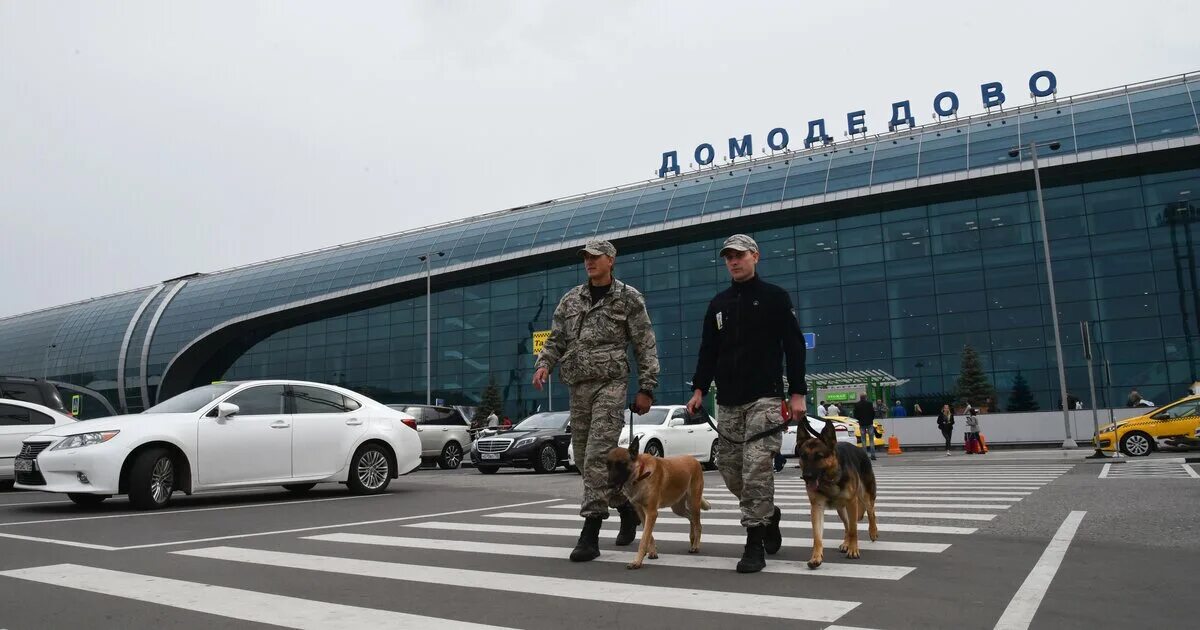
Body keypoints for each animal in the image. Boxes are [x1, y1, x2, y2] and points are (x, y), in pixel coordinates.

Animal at [609, 434, 710, 566]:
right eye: (608, 465)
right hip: (677, 508)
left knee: (698, 524)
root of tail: (694, 460)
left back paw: (696, 545)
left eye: (621, 464)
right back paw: (692, 538)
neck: (640, 474)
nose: (608, 484)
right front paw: (652, 552)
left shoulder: (651, 513)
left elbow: (644, 538)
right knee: (691, 517)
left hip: (693, 502)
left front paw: (637, 561)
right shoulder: (641, 512)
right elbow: (648, 535)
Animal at [801, 417, 878, 568]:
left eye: (819, 457)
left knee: (871, 513)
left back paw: (873, 532)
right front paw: (816, 557)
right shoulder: (817, 507)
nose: (806, 477)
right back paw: (846, 543)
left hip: (864, 496)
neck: (830, 479)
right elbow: (817, 536)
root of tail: (859, 449)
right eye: (803, 456)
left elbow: (854, 530)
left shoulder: (852, 503)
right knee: (847, 525)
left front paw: (853, 550)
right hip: (841, 509)